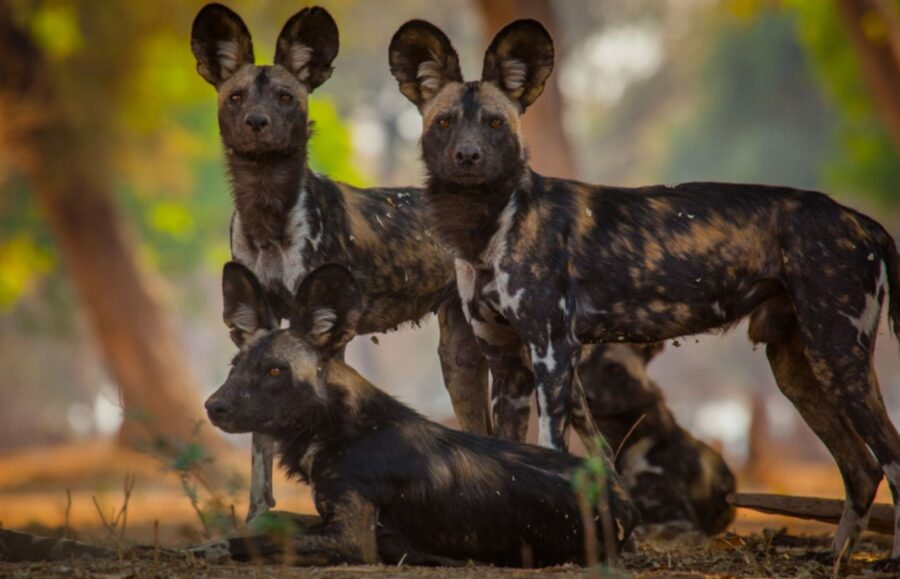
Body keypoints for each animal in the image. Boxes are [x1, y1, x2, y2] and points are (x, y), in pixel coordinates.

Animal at [189, 4, 492, 520]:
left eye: (286, 97)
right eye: (235, 97)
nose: (256, 122)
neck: (268, 215)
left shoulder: (326, 330)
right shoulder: (265, 322)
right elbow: (258, 441)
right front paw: (257, 517)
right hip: (461, 361)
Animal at [204, 266, 640, 568]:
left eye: (275, 371)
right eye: (235, 366)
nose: (213, 406)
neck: (339, 428)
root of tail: (625, 502)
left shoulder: (350, 540)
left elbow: (255, 539)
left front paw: (210, 547)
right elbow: (270, 521)